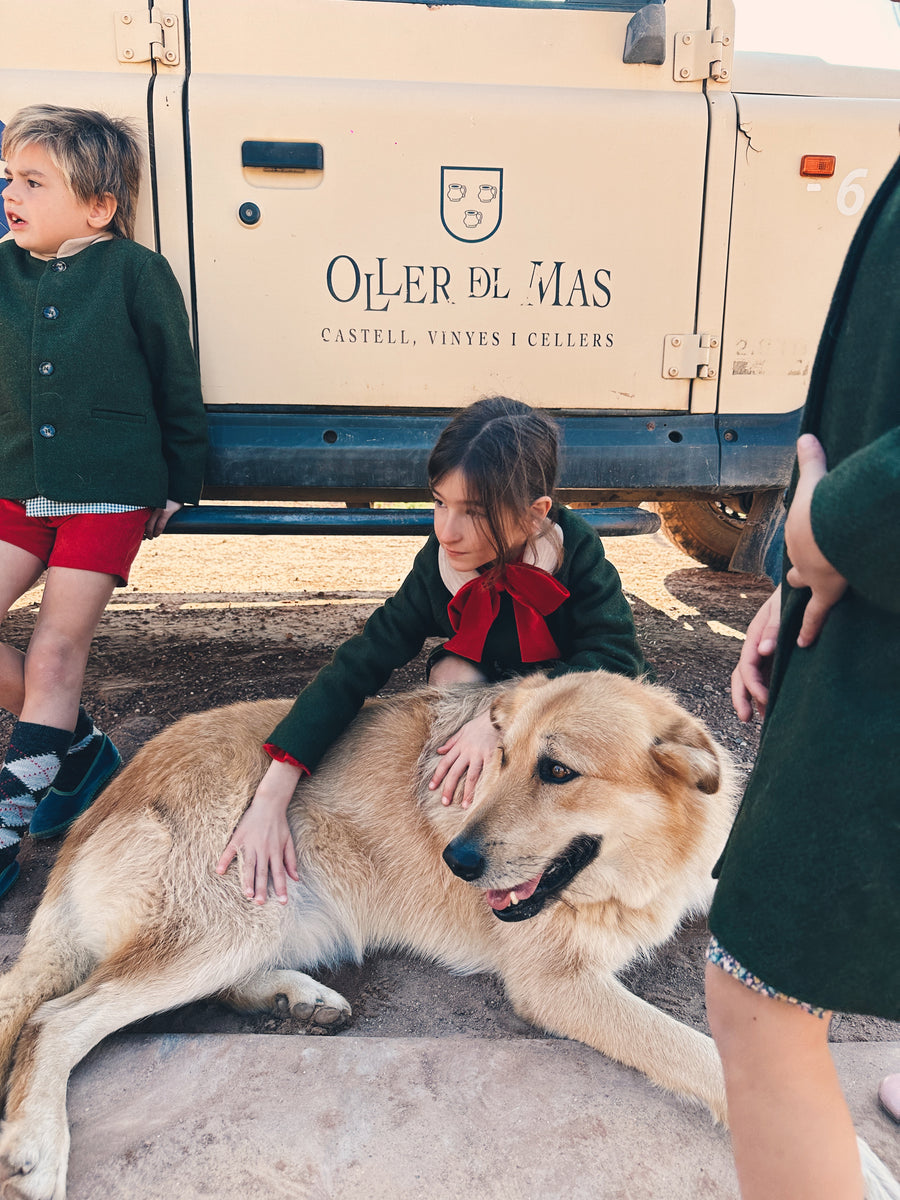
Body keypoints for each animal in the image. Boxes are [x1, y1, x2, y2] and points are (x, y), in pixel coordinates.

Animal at [0, 672, 734, 1195]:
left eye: (558, 771)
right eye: (500, 760)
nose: (455, 861)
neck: (646, 868)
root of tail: (100, 808)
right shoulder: (557, 984)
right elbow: (701, 1057)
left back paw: (296, 999)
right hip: (234, 920)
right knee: (56, 1017)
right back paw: (37, 1144)